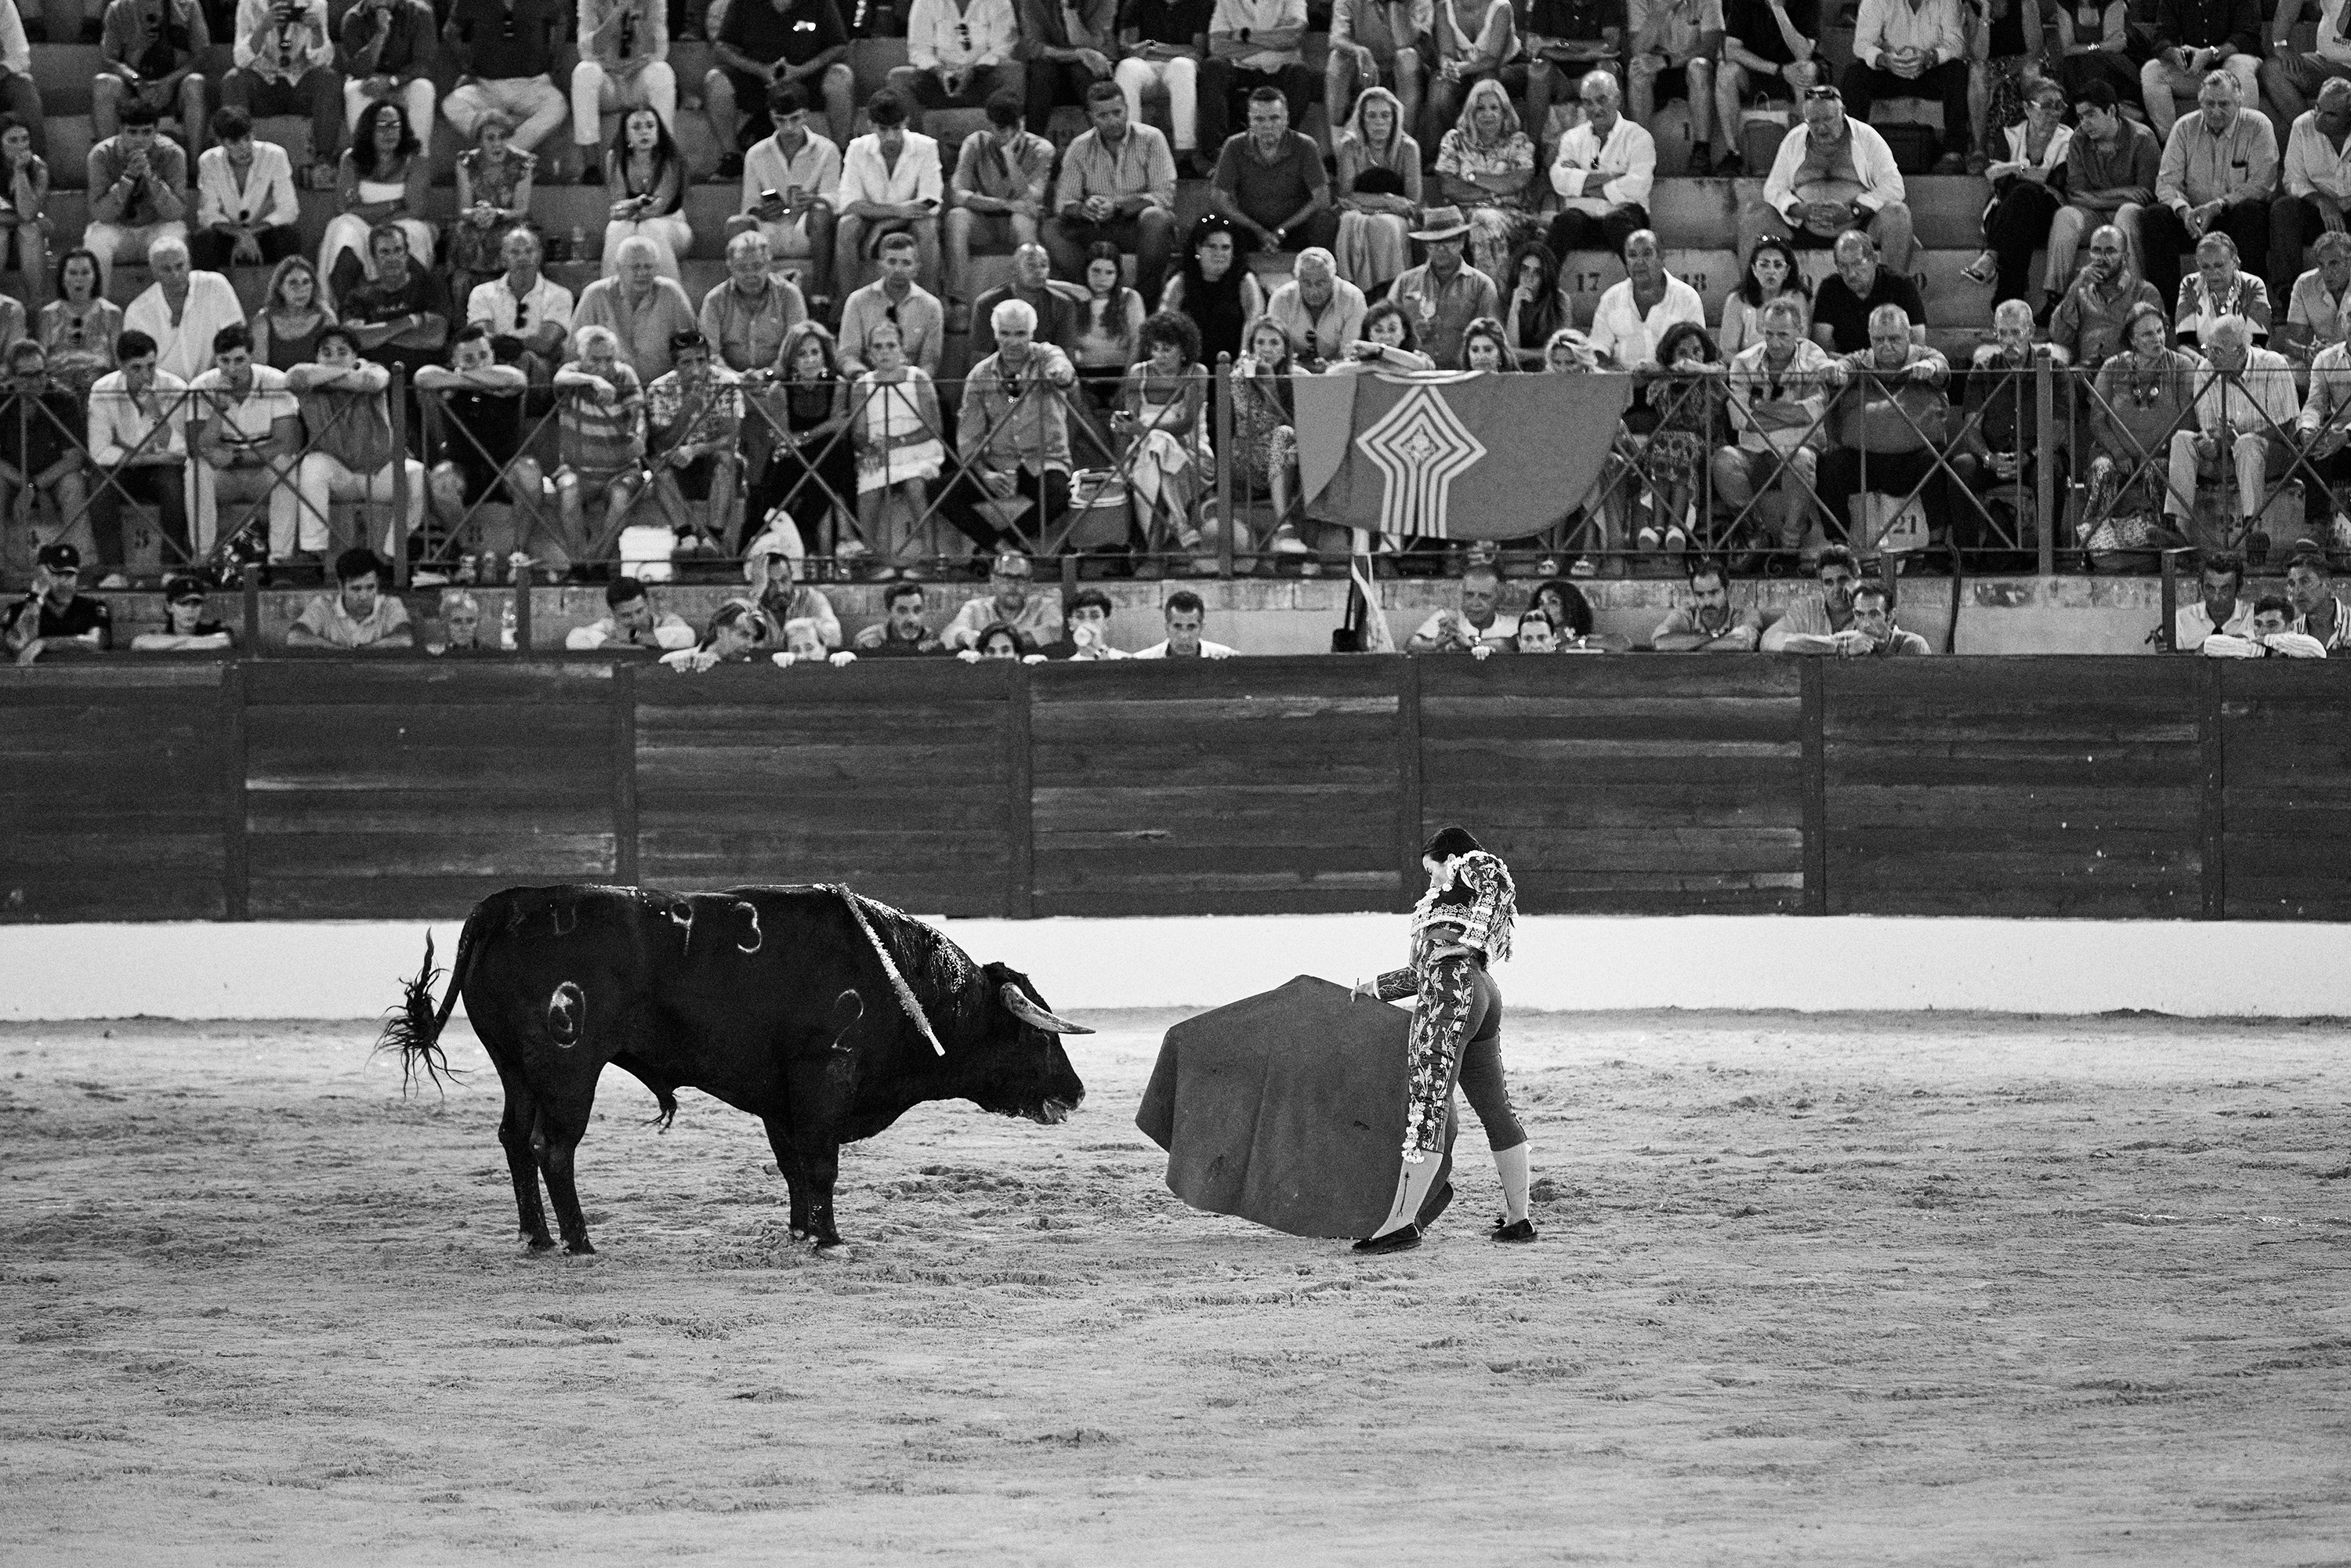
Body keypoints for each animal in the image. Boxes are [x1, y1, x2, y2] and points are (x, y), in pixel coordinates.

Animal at [376, 882, 1091, 1255]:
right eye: (1038, 1040)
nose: (1077, 1092)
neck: (899, 980)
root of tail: (503, 905)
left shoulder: (781, 1097)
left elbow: (795, 1166)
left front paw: (801, 1231)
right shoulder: (825, 1075)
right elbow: (822, 1163)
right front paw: (831, 1239)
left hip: (514, 1068)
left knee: (513, 1140)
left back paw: (537, 1236)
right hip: (569, 1067)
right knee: (553, 1147)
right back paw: (579, 1241)